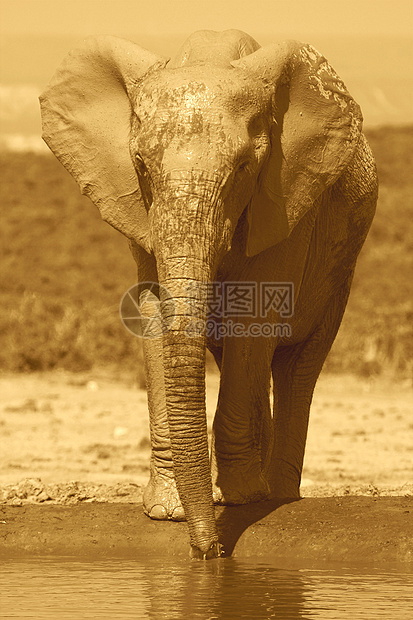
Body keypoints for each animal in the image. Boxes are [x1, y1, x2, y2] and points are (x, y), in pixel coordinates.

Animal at [39, 30, 376, 556]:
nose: (211, 552)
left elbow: (255, 314)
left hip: (342, 265)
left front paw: (238, 504)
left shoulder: (284, 198)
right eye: (140, 165)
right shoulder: (140, 212)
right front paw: (167, 512)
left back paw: (276, 493)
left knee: (297, 366)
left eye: (243, 168)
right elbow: (156, 311)